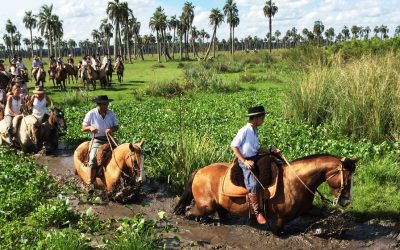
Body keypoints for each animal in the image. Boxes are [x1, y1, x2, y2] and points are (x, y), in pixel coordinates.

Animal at [173, 153, 358, 235]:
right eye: (348, 178)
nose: (347, 201)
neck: (297, 181)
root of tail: (199, 171)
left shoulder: (308, 209)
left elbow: (326, 214)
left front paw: (340, 226)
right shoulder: (279, 221)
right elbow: (277, 230)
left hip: (220, 205)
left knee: (221, 214)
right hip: (206, 205)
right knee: (190, 212)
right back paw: (201, 219)